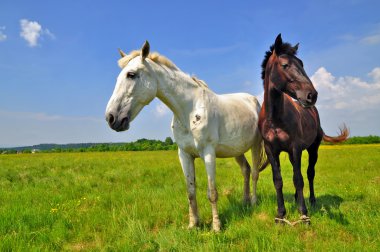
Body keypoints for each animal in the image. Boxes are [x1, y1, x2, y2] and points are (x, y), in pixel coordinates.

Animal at [104, 41, 268, 232]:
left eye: (131, 75)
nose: (112, 118)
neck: (190, 110)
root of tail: (253, 101)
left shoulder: (208, 153)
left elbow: (212, 192)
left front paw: (216, 227)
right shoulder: (184, 154)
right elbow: (190, 192)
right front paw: (193, 224)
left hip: (255, 145)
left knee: (255, 173)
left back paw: (254, 202)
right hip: (237, 150)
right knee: (246, 170)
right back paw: (245, 201)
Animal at [258, 34, 348, 224]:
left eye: (301, 63)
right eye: (285, 65)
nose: (311, 95)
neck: (275, 118)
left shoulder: (296, 148)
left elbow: (299, 179)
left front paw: (303, 213)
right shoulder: (271, 150)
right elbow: (278, 180)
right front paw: (281, 214)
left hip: (313, 149)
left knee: (309, 173)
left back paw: (312, 201)